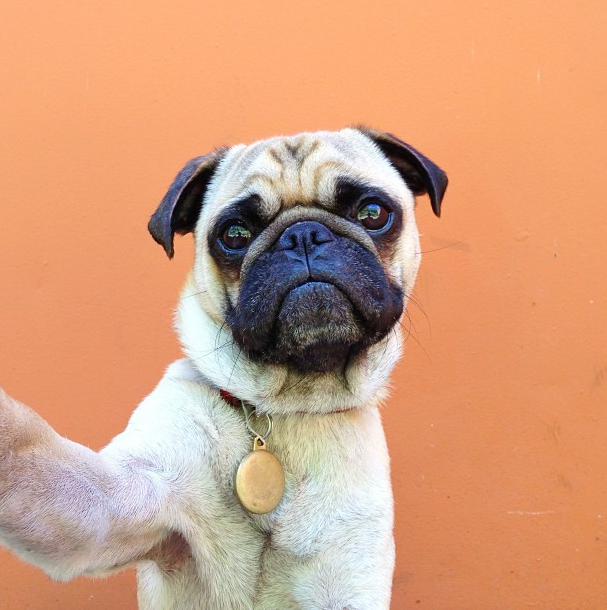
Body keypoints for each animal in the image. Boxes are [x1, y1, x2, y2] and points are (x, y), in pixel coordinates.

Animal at [0, 127, 447, 609]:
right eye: (234, 235)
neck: (280, 414)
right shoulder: (123, 496)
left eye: (372, 213)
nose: (303, 234)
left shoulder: (349, 574)